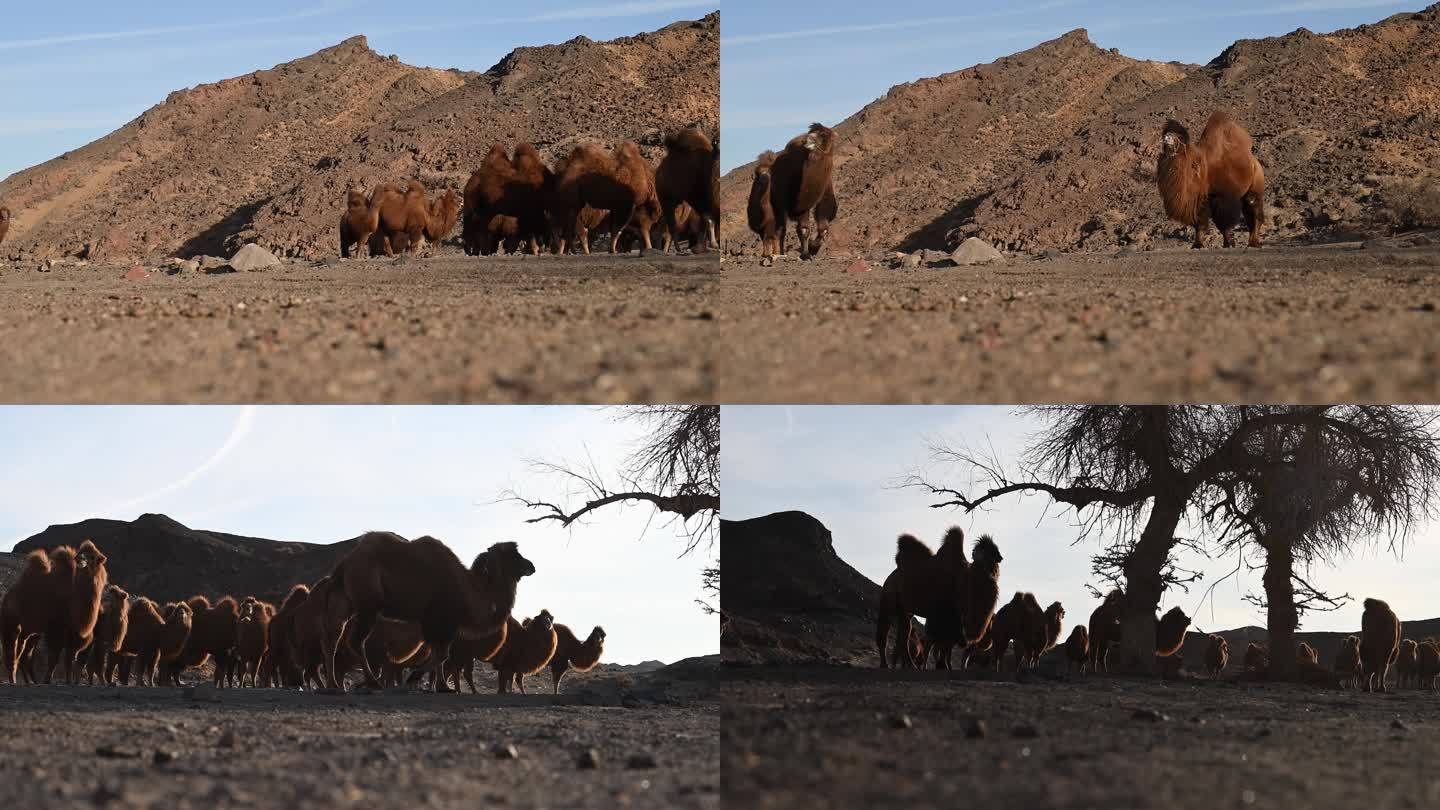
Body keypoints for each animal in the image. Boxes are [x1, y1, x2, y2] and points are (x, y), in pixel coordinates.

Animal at [321, 530, 535, 686]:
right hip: (368, 606)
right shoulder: (441, 621)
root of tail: (346, 562)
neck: (469, 591)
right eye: (515, 555)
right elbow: (442, 654)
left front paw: (441, 687)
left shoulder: (435, 623)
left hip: (346, 601)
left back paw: (335, 686)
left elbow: (437, 653)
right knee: (355, 641)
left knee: (333, 636)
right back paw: (372, 683)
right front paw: (417, 679)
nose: (531, 566)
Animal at [771, 122, 840, 257]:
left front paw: (813, 248)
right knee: (781, 229)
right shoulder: (800, 205)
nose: (807, 140)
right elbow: (804, 230)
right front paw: (806, 254)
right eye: (810, 132)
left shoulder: (825, 194)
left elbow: (823, 229)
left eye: (824, 135)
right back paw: (780, 253)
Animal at [1152, 110, 1267, 247]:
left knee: (1255, 212)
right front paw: (1197, 244)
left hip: (1255, 187)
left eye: (1179, 136)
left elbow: (1223, 223)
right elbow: (1199, 223)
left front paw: (1228, 243)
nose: (1166, 137)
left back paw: (1253, 242)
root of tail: (1256, 163)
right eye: (1165, 134)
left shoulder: (1220, 197)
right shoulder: (1198, 200)